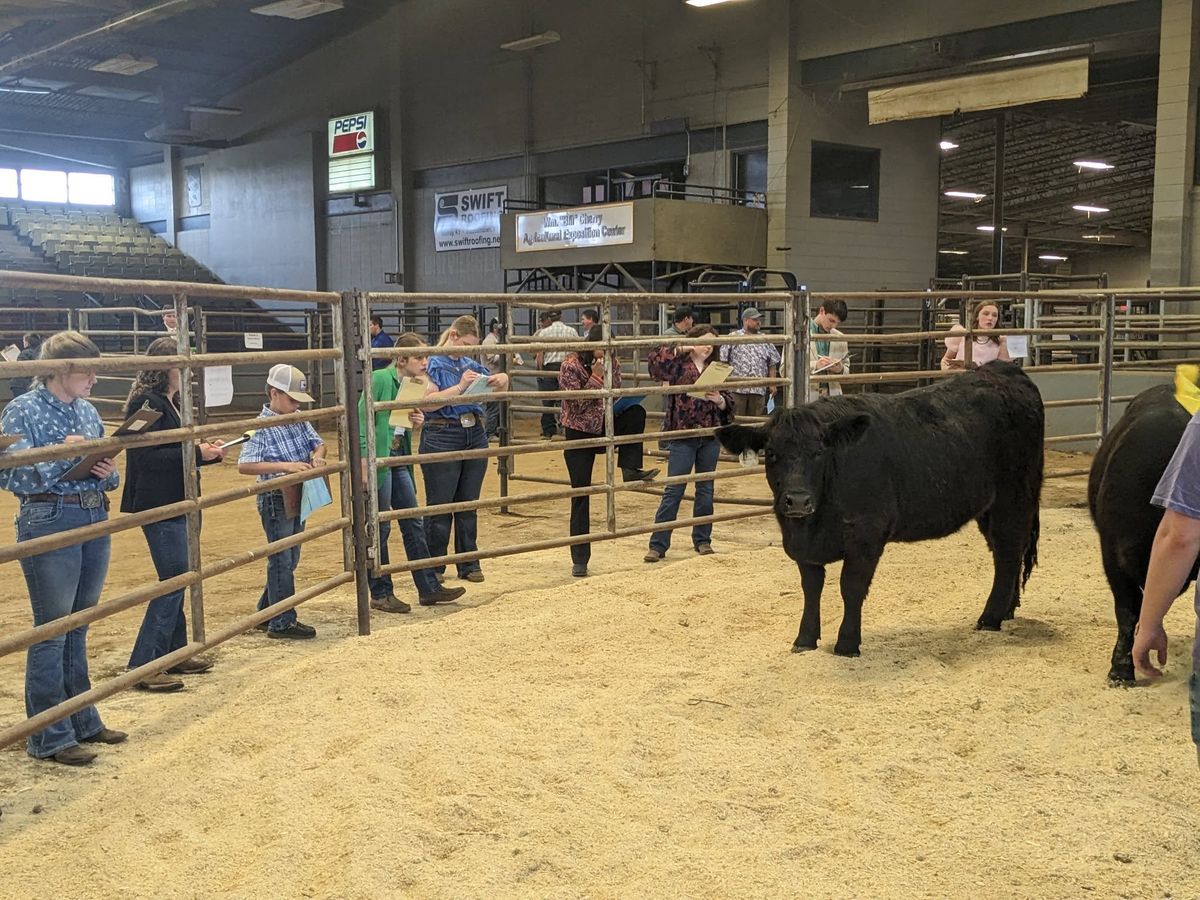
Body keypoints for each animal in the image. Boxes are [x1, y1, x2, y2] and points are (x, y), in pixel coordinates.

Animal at [715, 362, 1046, 657]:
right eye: (771, 453)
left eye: (819, 452)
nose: (797, 500)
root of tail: (1002, 370)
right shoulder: (803, 546)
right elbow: (811, 588)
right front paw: (805, 639)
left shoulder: (866, 534)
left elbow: (851, 587)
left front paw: (847, 644)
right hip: (989, 507)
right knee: (1007, 554)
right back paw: (1006, 611)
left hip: (1014, 497)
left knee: (1007, 553)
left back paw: (989, 618)